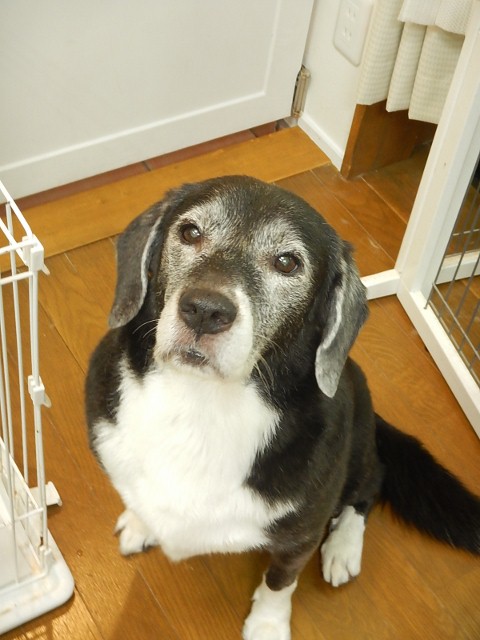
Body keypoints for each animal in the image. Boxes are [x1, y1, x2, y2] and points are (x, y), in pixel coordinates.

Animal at [86, 175, 480, 639]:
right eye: (190, 232)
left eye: (288, 263)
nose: (204, 310)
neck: (201, 406)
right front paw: (140, 521)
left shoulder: (301, 534)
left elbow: (280, 581)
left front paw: (267, 625)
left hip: (359, 446)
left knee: (370, 484)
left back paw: (343, 547)